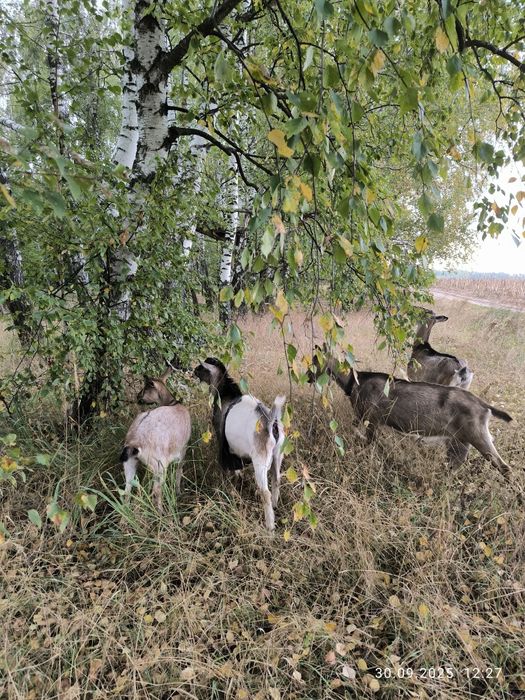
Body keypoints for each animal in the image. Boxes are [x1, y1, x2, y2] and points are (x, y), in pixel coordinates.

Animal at [120, 367, 191, 511]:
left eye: (146, 387)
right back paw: (161, 513)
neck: (173, 404)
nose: (138, 397)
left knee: (127, 490)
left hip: (130, 463)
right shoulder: (183, 450)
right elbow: (179, 471)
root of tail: (135, 442)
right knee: (156, 492)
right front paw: (178, 492)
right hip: (159, 466)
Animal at [194, 357, 286, 531]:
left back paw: (270, 526)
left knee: (265, 492)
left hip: (260, 461)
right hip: (278, 454)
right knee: (277, 479)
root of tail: (271, 422)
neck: (225, 394)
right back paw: (276, 506)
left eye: (202, 368)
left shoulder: (222, 442)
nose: (193, 370)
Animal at [310, 348, 512, 476]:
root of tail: (484, 406)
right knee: (454, 465)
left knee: (504, 467)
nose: (308, 377)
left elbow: (367, 440)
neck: (355, 381)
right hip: (460, 442)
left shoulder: (371, 418)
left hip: (478, 437)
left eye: (314, 362)